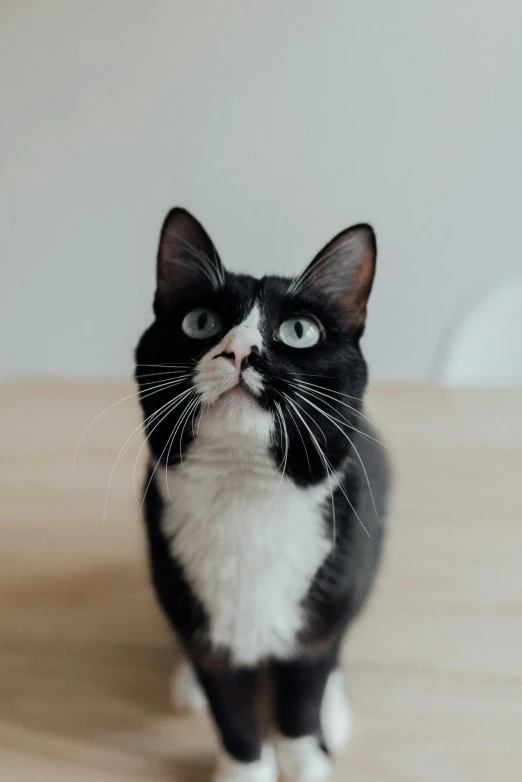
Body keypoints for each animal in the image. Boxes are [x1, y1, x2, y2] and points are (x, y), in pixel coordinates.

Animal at [136, 208, 388, 782]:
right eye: (200, 322)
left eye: (299, 331)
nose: (240, 351)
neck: (245, 494)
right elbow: (231, 709)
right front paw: (245, 770)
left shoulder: (326, 601)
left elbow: (304, 688)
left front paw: (306, 757)